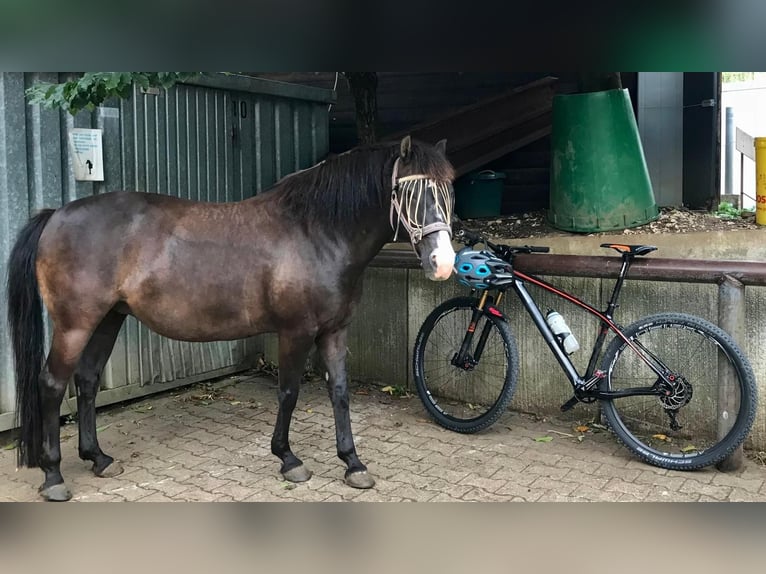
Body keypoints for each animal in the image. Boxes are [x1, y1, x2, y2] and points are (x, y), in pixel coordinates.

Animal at [6, 135, 456, 501]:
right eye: (409, 191)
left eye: (448, 191)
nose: (444, 264)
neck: (315, 231)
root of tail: (56, 214)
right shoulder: (296, 332)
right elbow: (289, 393)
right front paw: (289, 460)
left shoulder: (334, 331)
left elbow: (340, 393)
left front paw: (353, 463)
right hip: (75, 325)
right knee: (52, 385)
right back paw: (53, 477)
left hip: (107, 319)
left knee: (86, 381)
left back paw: (98, 458)